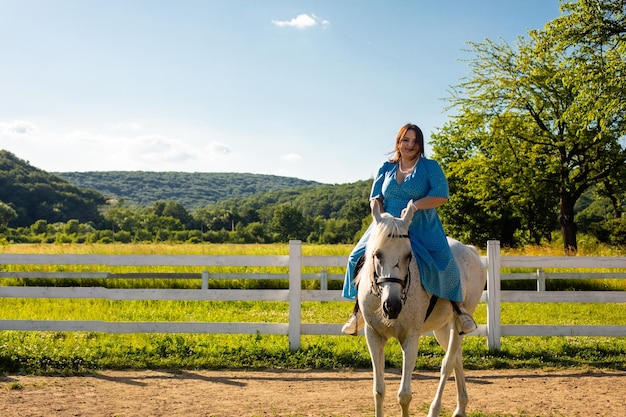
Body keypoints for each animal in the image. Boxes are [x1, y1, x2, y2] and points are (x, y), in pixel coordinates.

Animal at [354, 200, 486, 414]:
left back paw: (436, 410)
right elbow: (379, 391)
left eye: (409, 255)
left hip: (458, 325)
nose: (392, 306)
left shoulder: (410, 338)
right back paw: (460, 407)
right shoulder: (373, 336)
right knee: (457, 359)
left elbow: (404, 395)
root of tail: (470, 250)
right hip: (442, 327)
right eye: (377, 254)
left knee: (448, 363)